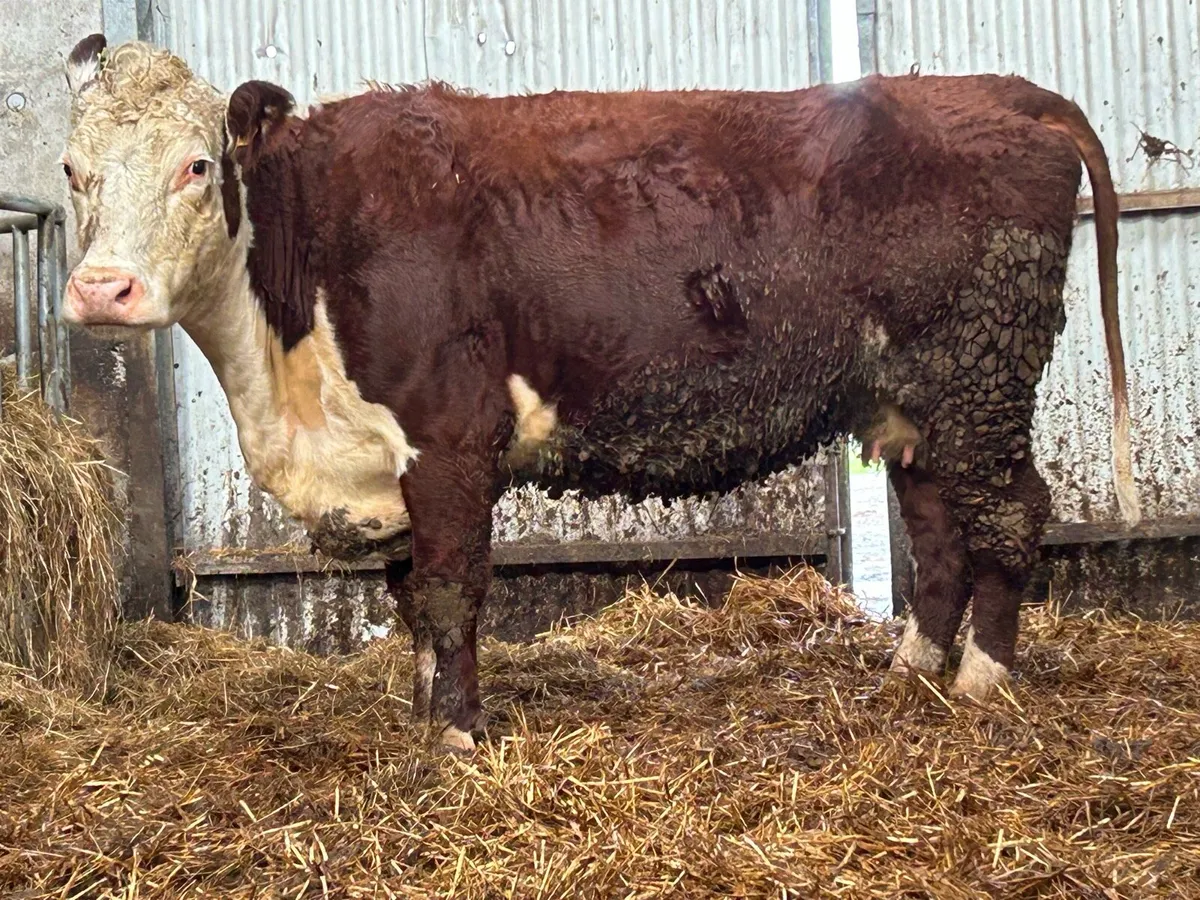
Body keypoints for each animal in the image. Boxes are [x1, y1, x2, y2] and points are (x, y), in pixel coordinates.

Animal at [59, 35, 1139, 751]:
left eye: (199, 165)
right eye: (71, 170)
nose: (103, 289)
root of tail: (1001, 92)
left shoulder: (451, 436)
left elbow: (450, 592)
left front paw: (458, 738)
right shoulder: (388, 466)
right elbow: (411, 601)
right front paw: (422, 718)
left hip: (979, 378)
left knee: (1011, 513)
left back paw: (984, 679)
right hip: (911, 400)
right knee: (941, 527)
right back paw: (914, 668)